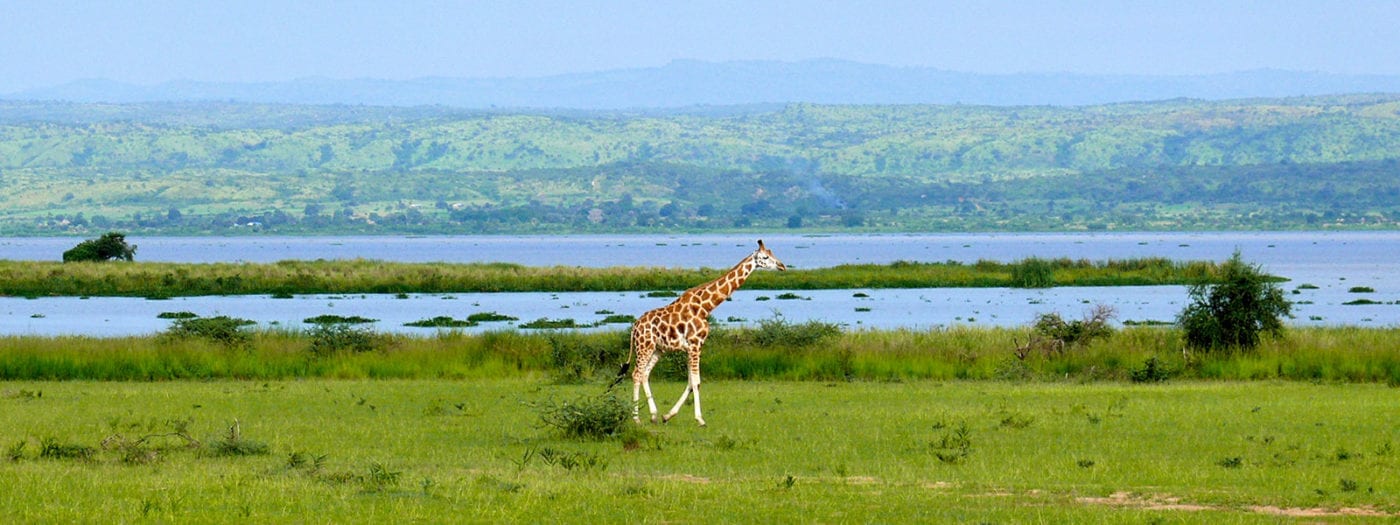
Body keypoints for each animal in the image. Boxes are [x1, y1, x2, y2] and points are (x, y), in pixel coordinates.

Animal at [624, 242, 789, 428]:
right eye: (765, 257)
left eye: (772, 253)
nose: (782, 266)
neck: (705, 307)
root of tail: (634, 327)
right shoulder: (695, 344)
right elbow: (696, 382)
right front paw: (700, 419)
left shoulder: (692, 347)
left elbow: (691, 382)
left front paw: (668, 415)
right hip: (644, 346)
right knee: (636, 374)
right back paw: (636, 418)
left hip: (658, 349)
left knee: (645, 374)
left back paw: (653, 415)